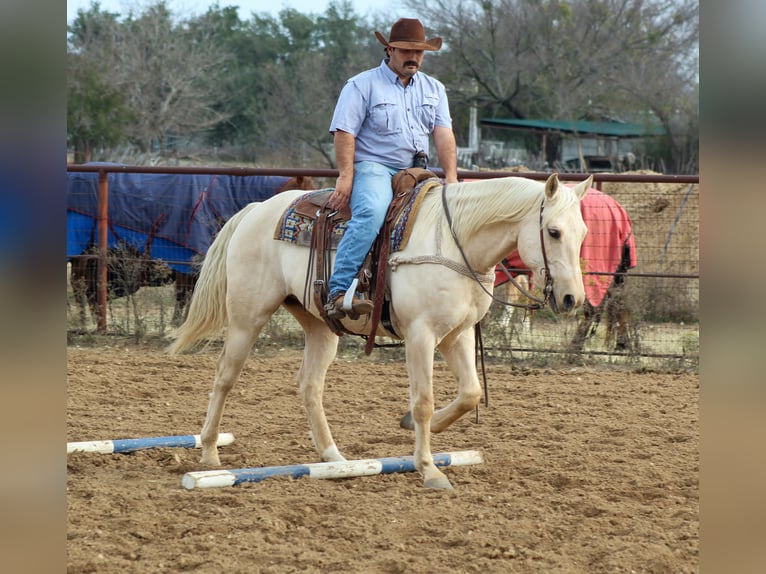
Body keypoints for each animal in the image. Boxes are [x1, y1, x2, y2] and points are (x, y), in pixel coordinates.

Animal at [168, 173, 592, 489]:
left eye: (584, 233)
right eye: (553, 232)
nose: (572, 298)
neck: (453, 244)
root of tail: (257, 211)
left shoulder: (457, 335)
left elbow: (470, 393)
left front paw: (414, 429)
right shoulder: (421, 335)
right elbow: (423, 401)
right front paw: (429, 468)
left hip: (320, 326)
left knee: (309, 385)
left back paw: (333, 458)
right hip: (247, 315)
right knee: (225, 377)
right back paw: (210, 454)